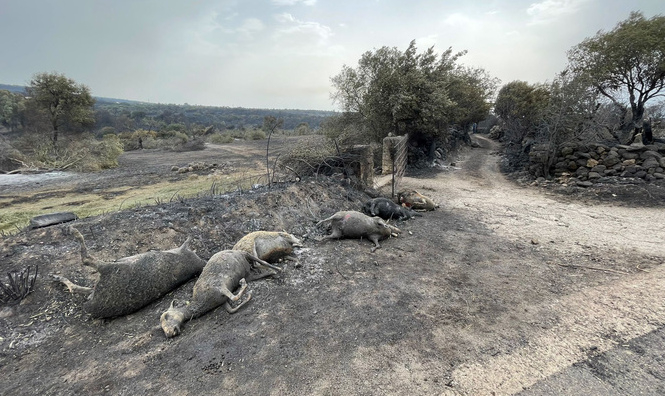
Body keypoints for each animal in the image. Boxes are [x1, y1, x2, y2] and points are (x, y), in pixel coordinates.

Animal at [52, 227, 206, 318]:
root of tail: (92, 304)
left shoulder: (185, 251)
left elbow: (188, 237)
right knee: (77, 287)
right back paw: (56, 277)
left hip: (109, 269)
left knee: (86, 259)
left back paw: (74, 232)